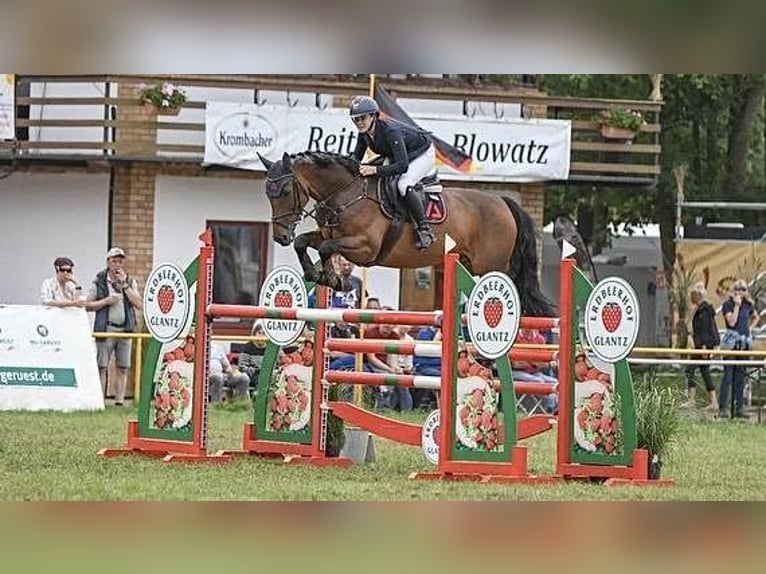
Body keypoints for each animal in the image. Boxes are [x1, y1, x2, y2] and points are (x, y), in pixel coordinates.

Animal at [259, 151, 554, 317]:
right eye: (268, 194)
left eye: (286, 191)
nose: (279, 237)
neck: (346, 192)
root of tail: (503, 201)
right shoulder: (328, 234)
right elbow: (304, 242)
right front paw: (317, 275)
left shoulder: (365, 248)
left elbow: (325, 248)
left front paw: (333, 279)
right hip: (471, 262)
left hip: (492, 265)